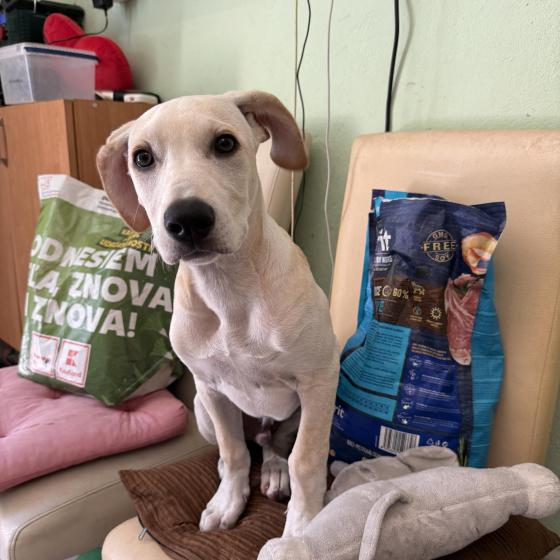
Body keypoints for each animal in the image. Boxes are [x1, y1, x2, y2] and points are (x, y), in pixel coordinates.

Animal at [97, 91, 339, 537]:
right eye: (142, 158)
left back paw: (276, 473)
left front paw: (303, 527)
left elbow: (306, 459)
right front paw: (230, 501)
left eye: (225, 143)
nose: (187, 220)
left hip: (299, 410)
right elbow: (233, 452)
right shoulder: (210, 387)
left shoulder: (318, 380)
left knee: (277, 447)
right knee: (246, 448)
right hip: (203, 411)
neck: (229, 292)